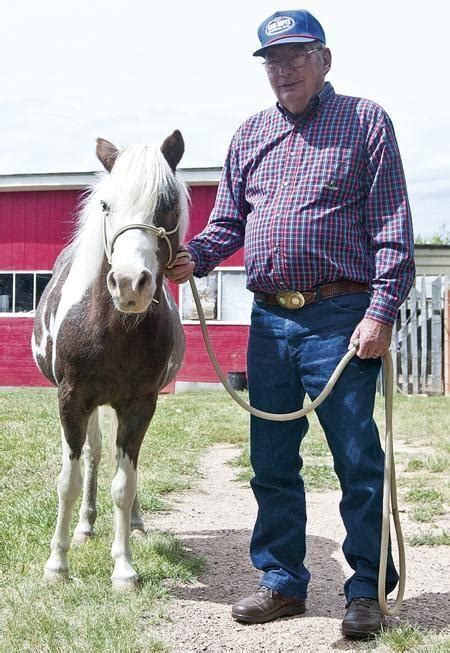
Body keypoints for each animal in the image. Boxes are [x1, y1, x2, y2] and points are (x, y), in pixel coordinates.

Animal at [31, 130, 189, 588]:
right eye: (106, 205)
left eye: (167, 204)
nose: (129, 283)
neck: (112, 329)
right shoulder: (72, 399)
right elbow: (68, 479)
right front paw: (57, 563)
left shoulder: (140, 404)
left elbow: (125, 483)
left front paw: (123, 566)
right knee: (93, 454)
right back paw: (85, 526)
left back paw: (134, 523)